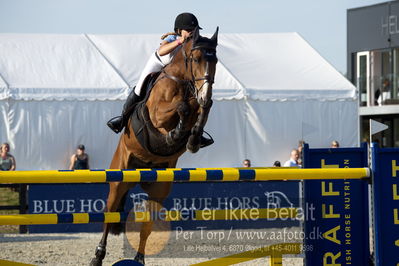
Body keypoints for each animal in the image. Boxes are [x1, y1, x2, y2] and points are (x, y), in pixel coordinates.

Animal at [90, 27, 219, 266]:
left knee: (147, 224)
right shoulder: (158, 113)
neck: (183, 82)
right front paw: (175, 134)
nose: (205, 95)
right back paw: (98, 256)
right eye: (196, 58)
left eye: (214, 60)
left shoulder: (198, 105)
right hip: (118, 179)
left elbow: (199, 112)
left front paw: (193, 138)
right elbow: (181, 107)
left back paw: (139, 258)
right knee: (109, 215)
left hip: (159, 189)